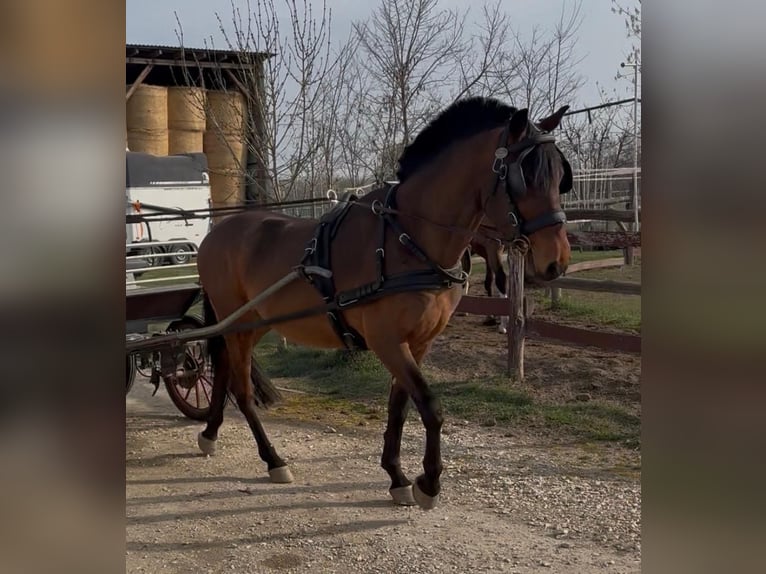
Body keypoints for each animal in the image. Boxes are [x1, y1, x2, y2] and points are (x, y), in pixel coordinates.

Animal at [195, 96, 573, 510]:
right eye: (525, 178)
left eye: (560, 177)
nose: (556, 261)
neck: (407, 238)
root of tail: (216, 233)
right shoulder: (386, 340)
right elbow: (430, 406)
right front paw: (428, 484)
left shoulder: (418, 343)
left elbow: (400, 405)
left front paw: (396, 476)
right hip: (237, 323)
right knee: (242, 389)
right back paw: (273, 459)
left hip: (253, 324)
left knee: (223, 370)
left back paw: (210, 434)